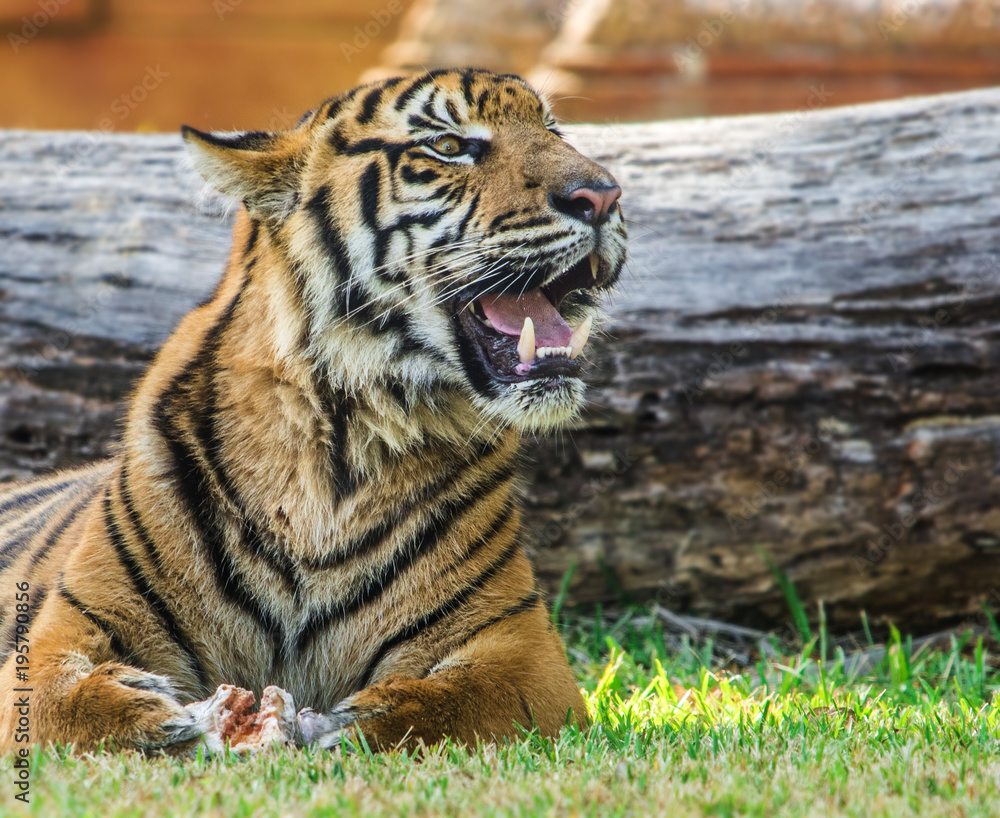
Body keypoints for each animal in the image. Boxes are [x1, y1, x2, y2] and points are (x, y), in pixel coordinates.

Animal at [0, 67, 626, 754]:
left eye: (554, 131)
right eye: (449, 146)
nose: (604, 197)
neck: (342, 438)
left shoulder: (524, 654)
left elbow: (452, 706)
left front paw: (340, 726)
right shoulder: (59, 635)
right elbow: (63, 706)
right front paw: (164, 718)